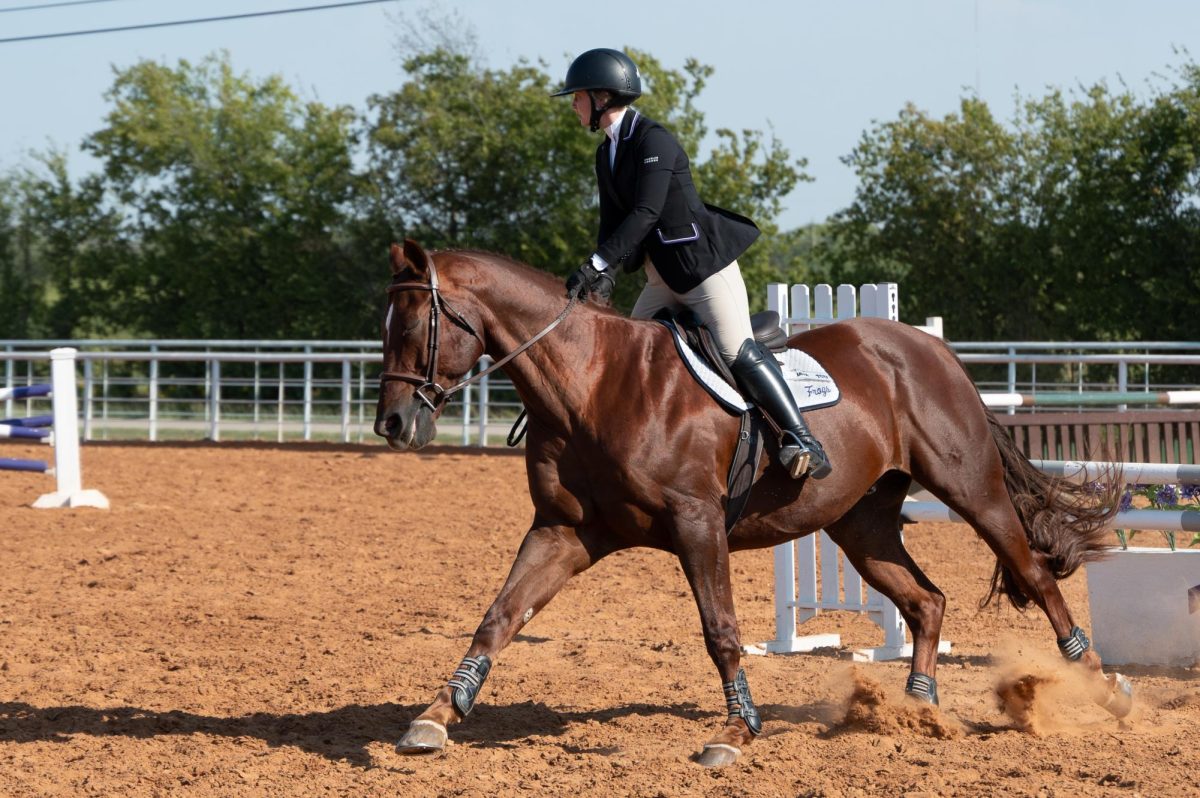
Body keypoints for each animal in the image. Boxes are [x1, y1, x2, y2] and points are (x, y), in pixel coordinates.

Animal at [374, 237, 1132, 768]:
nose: (392, 426)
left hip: (971, 490)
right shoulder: (564, 531)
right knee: (925, 601)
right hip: (859, 523)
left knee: (1034, 575)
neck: (590, 383)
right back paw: (917, 712)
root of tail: (930, 348)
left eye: (411, 327)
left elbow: (721, 632)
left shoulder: (697, 523)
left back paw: (1100, 687)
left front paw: (735, 732)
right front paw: (438, 713)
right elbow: (499, 617)